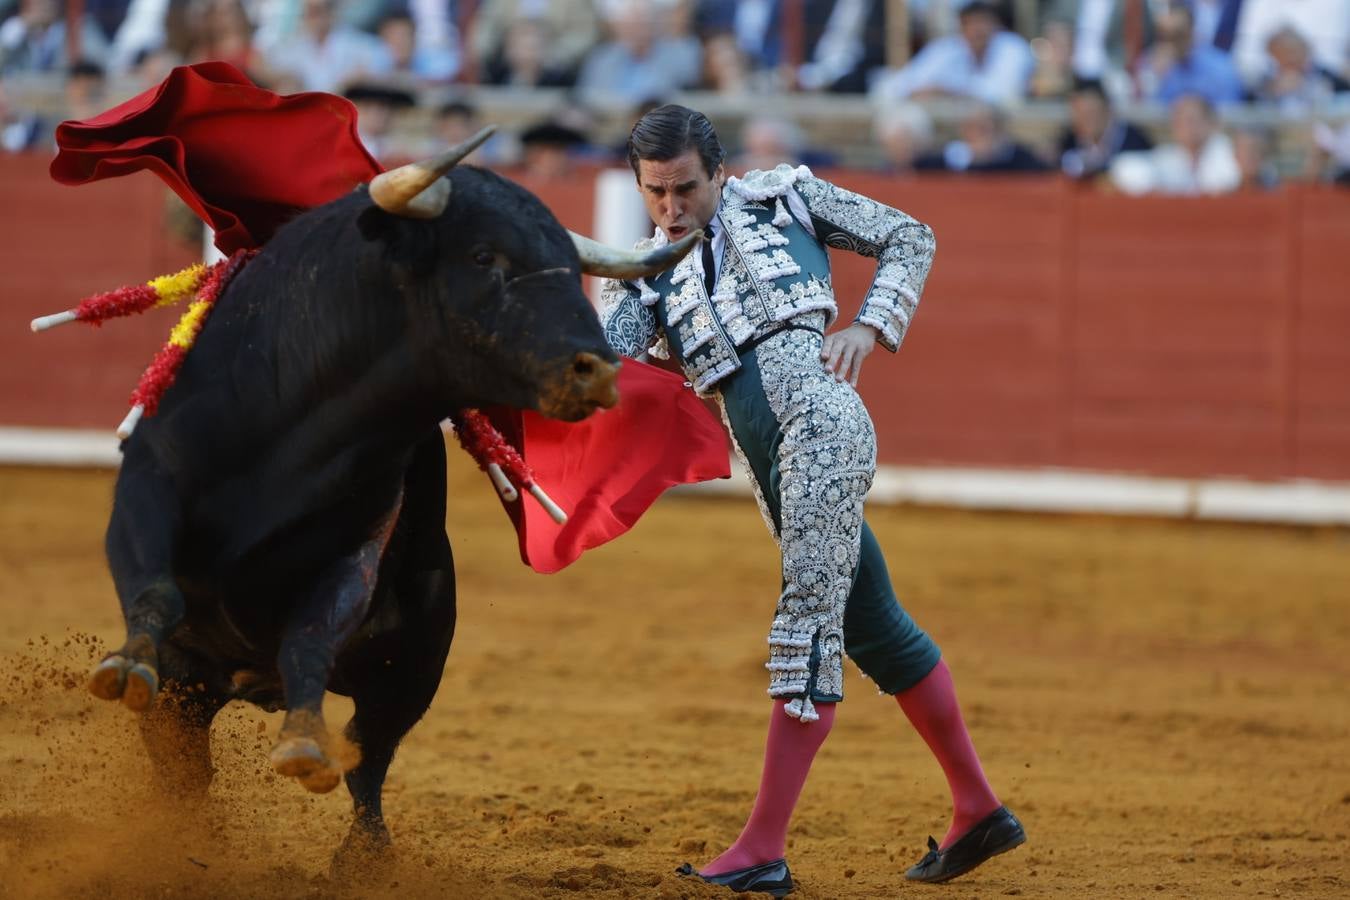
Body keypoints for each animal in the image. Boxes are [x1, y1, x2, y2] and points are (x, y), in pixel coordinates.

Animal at [81, 165, 696, 868]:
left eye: (571, 266)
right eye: (483, 257)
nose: (596, 370)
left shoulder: (359, 554)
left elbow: (313, 638)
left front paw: (303, 744)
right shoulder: (146, 491)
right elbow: (154, 588)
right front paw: (125, 664)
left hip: (412, 663)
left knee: (366, 763)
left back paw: (363, 858)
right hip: (188, 692)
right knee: (186, 770)